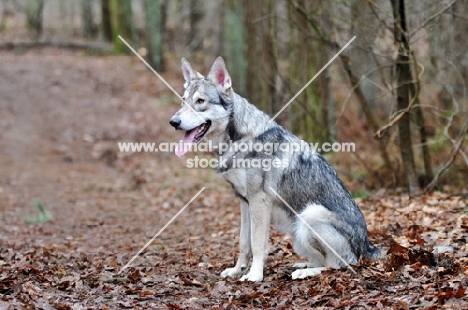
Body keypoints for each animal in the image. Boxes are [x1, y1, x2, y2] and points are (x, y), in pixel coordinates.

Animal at [169, 57, 380, 282]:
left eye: (200, 102)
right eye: (183, 100)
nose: (174, 122)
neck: (238, 139)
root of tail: (367, 248)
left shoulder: (259, 201)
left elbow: (257, 244)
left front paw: (254, 275)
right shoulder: (244, 201)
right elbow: (244, 242)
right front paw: (237, 271)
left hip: (309, 215)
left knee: (336, 266)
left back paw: (305, 272)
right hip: (297, 232)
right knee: (322, 260)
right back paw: (302, 264)